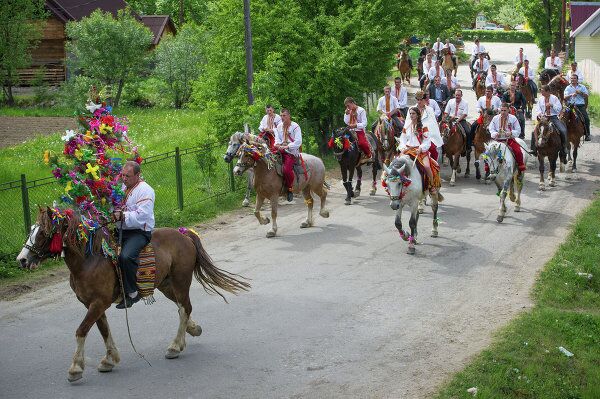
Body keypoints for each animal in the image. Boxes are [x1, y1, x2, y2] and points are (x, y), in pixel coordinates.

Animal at [16, 208, 250, 382]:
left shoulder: (98, 304)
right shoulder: (92, 305)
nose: (22, 260)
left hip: (180, 281)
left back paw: (175, 346)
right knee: (183, 308)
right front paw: (109, 359)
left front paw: (75, 368)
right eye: (32, 230)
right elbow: (103, 330)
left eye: (43, 232)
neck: (89, 260)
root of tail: (183, 234)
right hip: (166, 285)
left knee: (184, 308)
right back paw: (191, 331)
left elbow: (81, 331)